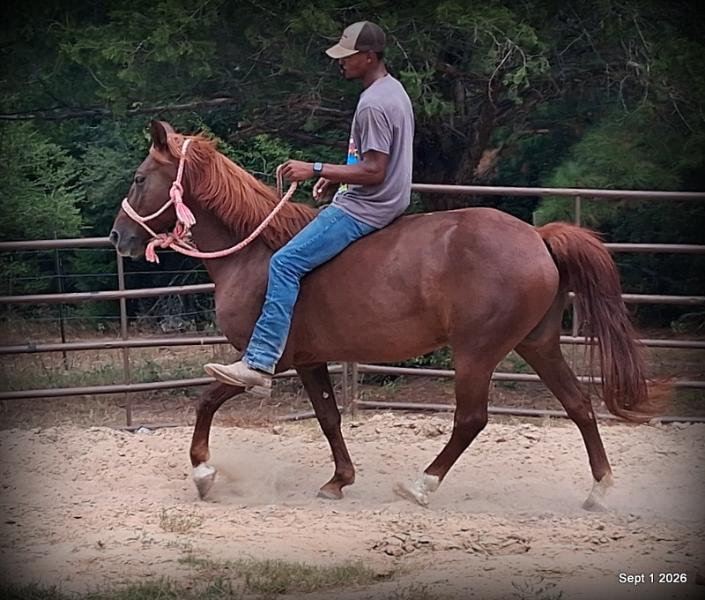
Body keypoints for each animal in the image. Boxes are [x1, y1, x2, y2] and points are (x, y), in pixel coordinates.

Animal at [110, 120, 653, 511]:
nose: (119, 237)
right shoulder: (310, 360)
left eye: (138, 178)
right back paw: (599, 489)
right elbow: (329, 417)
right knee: (579, 405)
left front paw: (203, 473)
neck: (257, 253)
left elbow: (206, 400)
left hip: (477, 352)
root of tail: (538, 238)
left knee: (471, 419)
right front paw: (338, 480)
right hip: (536, 344)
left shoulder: (264, 361)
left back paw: (421, 486)